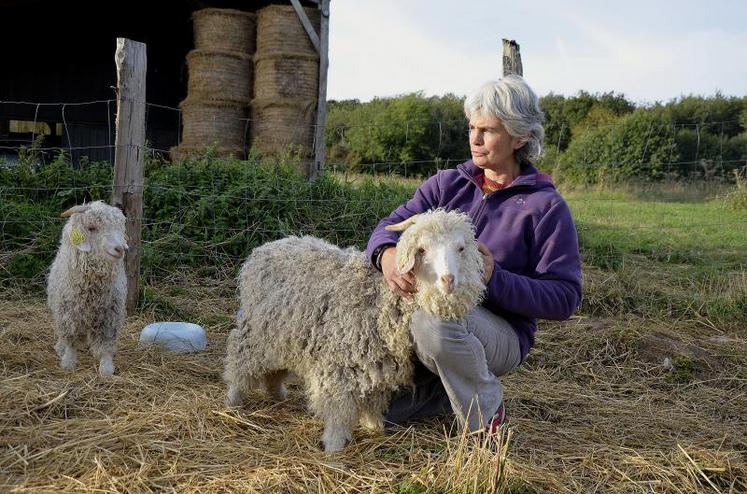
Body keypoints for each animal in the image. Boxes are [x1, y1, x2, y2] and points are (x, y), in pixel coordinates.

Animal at [47, 200, 129, 374]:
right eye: (92, 228)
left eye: (120, 228)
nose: (120, 249)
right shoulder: (68, 314)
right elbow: (71, 341)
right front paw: (68, 362)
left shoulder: (110, 317)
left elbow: (106, 344)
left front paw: (106, 368)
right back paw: (60, 347)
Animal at [225, 208, 488, 452]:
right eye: (421, 250)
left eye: (461, 248)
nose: (448, 280)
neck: (380, 297)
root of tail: (268, 247)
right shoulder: (340, 364)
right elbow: (338, 407)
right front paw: (333, 446)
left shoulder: (378, 365)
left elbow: (371, 399)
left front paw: (373, 425)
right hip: (256, 334)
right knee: (240, 363)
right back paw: (232, 400)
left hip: (283, 336)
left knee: (274, 370)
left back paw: (277, 393)